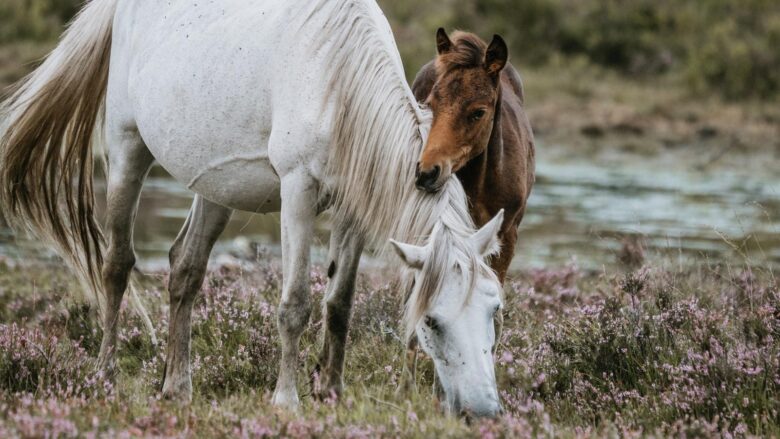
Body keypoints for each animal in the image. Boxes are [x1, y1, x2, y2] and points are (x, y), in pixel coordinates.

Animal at [0, 0, 506, 420]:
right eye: (431, 321)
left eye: (493, 309)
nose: (482, 411)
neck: (337, 83)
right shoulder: (297, 192)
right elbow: (295, 303)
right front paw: (287, 400)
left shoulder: (352, 210)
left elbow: (339, 304)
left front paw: (332, 393)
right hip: (127, 150)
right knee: (116, 266)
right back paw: (104, 376)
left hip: (214, 187)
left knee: (184, 268)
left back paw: (176, 387)